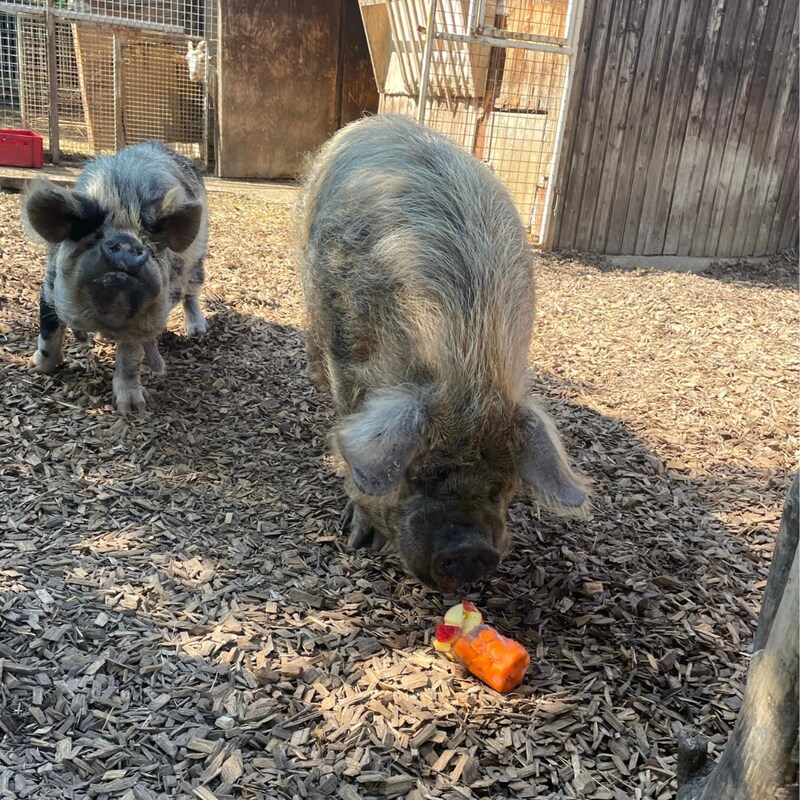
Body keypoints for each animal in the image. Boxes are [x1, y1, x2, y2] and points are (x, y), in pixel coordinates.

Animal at [23, 139, 208, 412]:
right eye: (96, 236)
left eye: (148, 243)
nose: (126, 244)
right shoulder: (50, 286)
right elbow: (48, 334)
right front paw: (33, 368)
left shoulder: (145, 319)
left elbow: (130, 358)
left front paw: (133, 409)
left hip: (197, 262)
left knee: (191, 293)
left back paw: (196, 333)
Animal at [296, 115, 592, 592]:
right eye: (417, 475)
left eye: (503, 485)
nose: (470, 551)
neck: (467, 366)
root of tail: (377, 120)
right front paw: (358, 540)